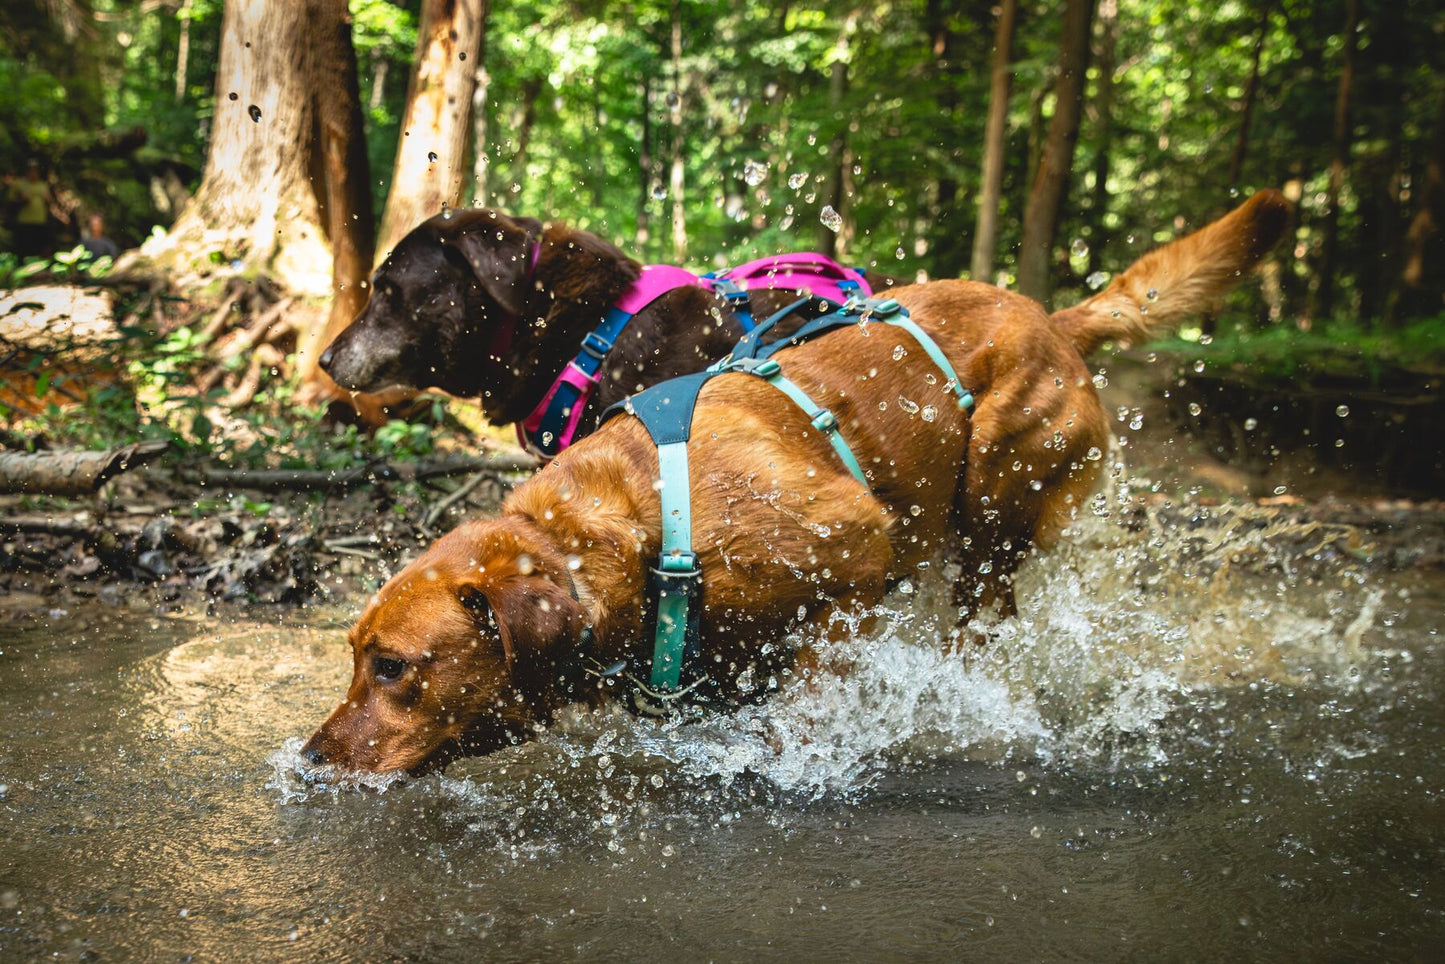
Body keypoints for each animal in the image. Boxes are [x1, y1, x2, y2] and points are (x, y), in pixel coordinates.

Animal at [302, 192, 1288, 774]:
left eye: (393, 668)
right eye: (352, 657)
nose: (307, 758)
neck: (624, 533)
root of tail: (1054, 317)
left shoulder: (851, 557)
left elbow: (809, 697)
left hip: (992, 514)